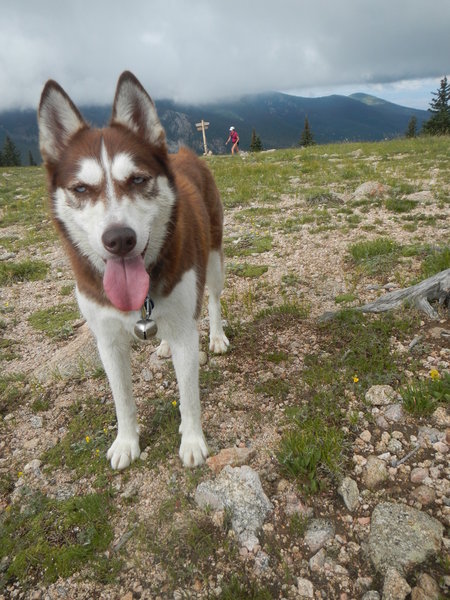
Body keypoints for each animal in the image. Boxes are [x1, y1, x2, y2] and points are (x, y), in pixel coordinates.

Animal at [37, 71, 229, 468]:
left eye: (138, 179)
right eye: (81, 188)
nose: (119, 239)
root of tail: (187, 153)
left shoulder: (186, 328)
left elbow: (189, 395)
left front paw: (192, 442)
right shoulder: (106, 340)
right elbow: (122, 398)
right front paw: (127, 442)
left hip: (214, 259)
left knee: (214, 299)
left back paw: (217, 336)